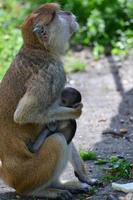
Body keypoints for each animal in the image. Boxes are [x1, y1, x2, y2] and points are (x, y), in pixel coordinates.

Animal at [0, 3, 90, 200]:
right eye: (56, 13)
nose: (69, 13)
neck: (38, 48)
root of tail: (8, 176)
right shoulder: (52, 73)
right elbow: (24, 115)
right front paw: (77, 111)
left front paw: (84, 175)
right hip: (29, 175)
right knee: (57, 140)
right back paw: (41, 191)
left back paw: (61, 185)